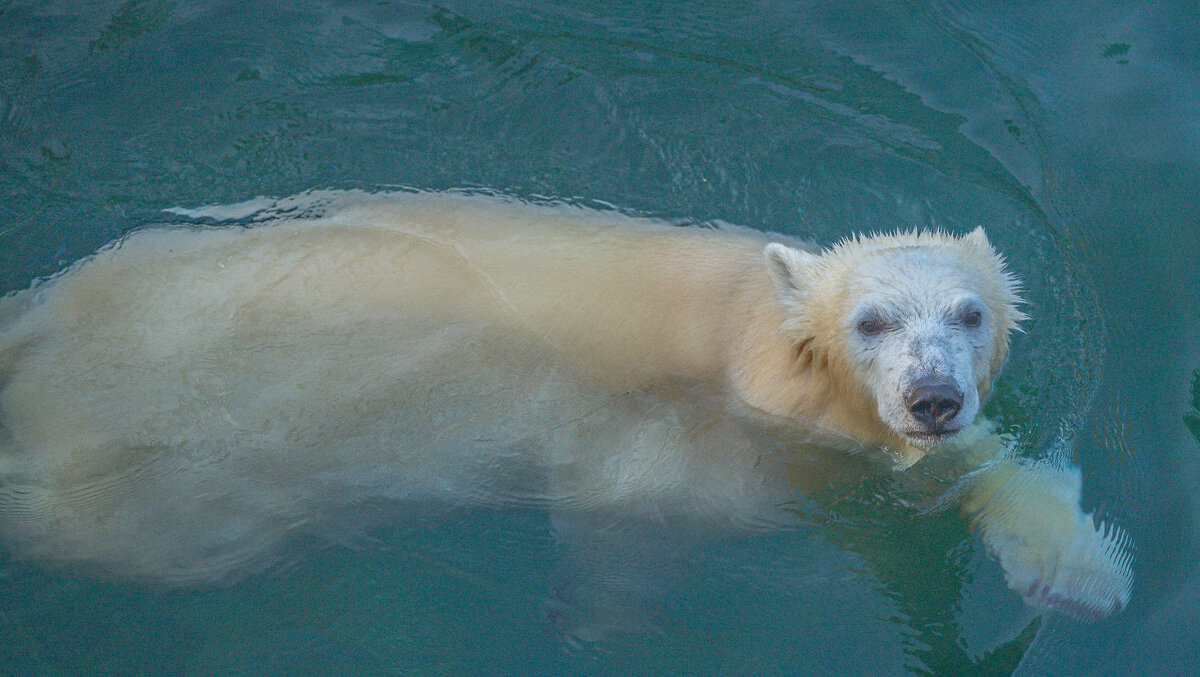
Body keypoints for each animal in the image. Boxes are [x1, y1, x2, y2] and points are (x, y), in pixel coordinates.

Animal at [0, 189, 1128, 619]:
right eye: (872, 320)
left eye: (970, 312)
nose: (933, 395)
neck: (745, 338)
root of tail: (43, 315)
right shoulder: (686, 435)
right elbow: (627, 513)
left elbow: (980, 471)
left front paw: (1080, 574)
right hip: (183, 452)